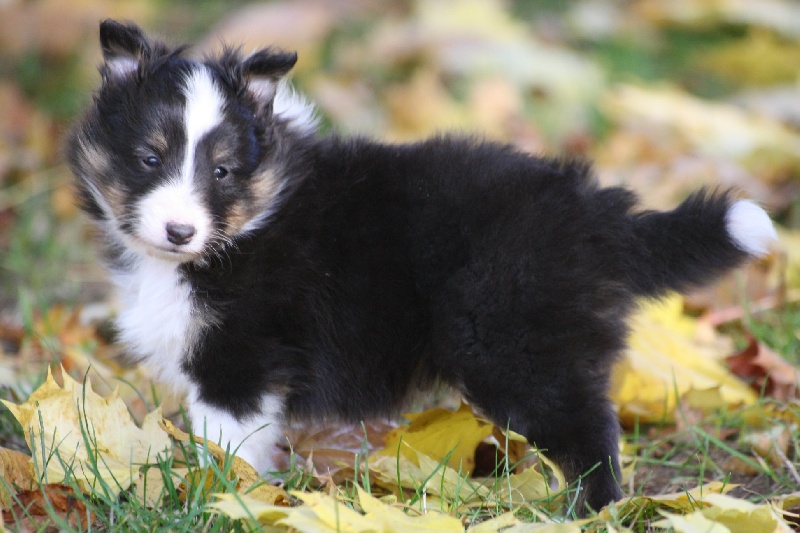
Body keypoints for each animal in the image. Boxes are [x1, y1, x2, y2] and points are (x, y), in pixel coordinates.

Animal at [65, 19, 780, 512]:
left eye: (220, 172)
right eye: (150, 158)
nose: (180, 230)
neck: (245, 225)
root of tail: (592, 213)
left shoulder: (238, 361)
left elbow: (227, 446)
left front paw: (220, 497)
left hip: (517, 350)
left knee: (590, 435)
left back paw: (588, 513)